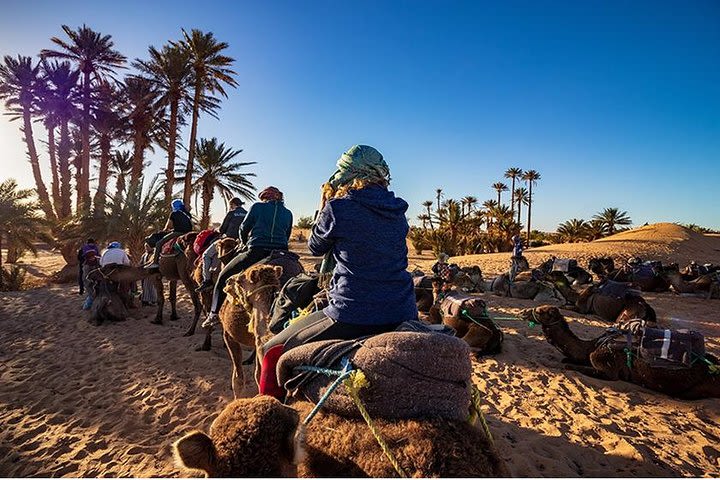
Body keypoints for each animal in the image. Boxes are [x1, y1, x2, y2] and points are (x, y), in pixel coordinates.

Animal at [524, 306, 720, 400]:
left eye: (541, 311)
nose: (524, 312)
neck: (592, 345)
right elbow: (568, 359)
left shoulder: (605, 364)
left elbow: (571, 365)